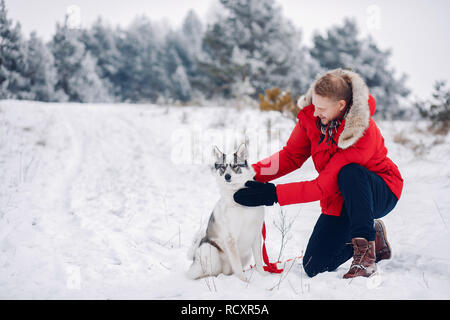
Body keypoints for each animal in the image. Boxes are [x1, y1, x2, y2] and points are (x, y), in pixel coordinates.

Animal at [185, 144, 266, 282]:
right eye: (223, 167)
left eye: (235, 166)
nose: (227, 176)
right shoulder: (230, 238)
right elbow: (237, 265)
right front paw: (244, 282)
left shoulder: (256, 234)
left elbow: (259, 261)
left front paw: (263, 276)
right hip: (209, 249)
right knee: (204, 274)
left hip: (246, 254)